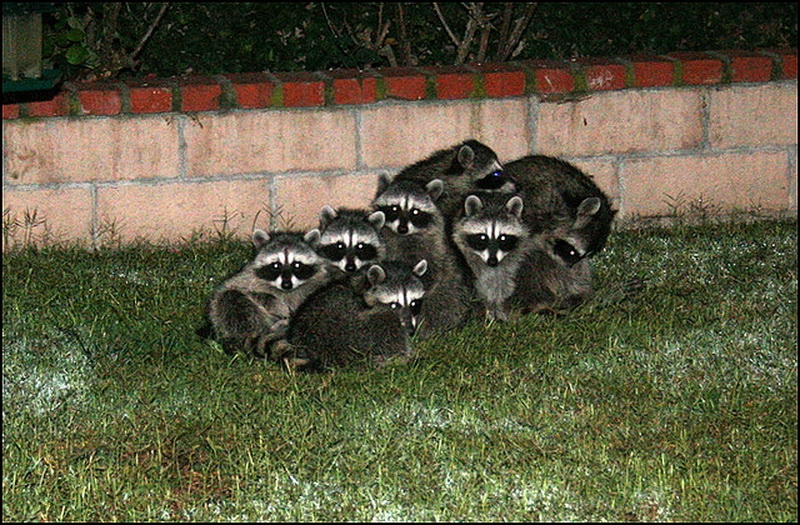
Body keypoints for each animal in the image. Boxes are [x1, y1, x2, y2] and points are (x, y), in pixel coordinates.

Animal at [208, 228, 332, 356]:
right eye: (276, 265)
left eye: (297, 265)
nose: (286, 284)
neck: (287, 291)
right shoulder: (245, 278)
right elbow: (241, 290)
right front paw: (276, 303)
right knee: (231, 300)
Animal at [372, 175, 472, 336]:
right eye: (395, 208)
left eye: (415, 212)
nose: (402, 228)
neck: (405, 236)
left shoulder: (433, 247)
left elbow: (431, 271)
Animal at [454, 190, 536, 320]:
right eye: (483, 237)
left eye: (503, 238)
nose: (492, 261)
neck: (493, 204)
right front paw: (487, 309)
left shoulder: (514, 256)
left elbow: (503, 280)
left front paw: (499, 307)